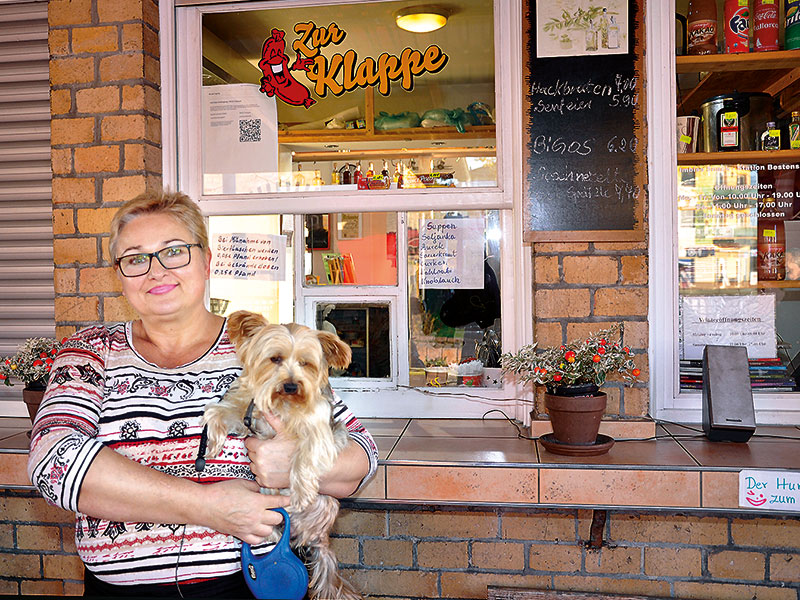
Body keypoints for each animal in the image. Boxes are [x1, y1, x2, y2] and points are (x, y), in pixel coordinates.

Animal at [202, 312, 360, 596]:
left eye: (305, 363)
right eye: (275, 359)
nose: (291, 386)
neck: (282, 405)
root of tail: (318, 540)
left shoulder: (321, 432)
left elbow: (304, 457)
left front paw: (301, 492)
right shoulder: (246, 412)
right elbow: (215, 412)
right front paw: (213, 444)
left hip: (325, 506)